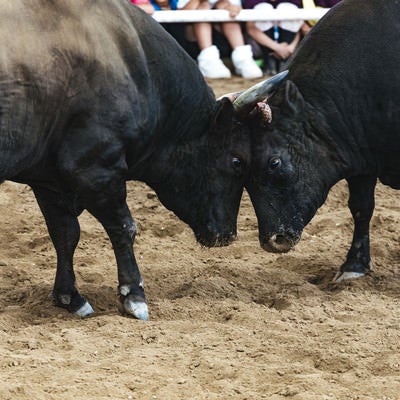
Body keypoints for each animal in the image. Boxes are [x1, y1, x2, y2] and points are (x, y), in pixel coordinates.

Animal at [0, 0, 290, 318]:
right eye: (237, 162)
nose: (228, 235)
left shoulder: (49, 180)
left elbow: (65, 234)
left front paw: (70, 296)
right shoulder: (96, 170)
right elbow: (124, 228)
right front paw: (134, 295)